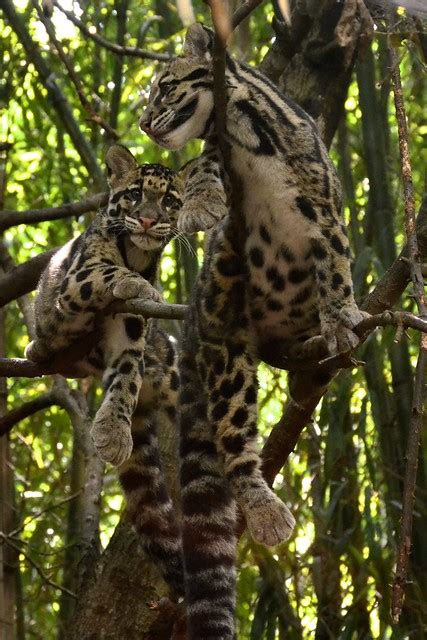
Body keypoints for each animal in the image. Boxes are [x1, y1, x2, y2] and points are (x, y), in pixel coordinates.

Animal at [25, 146, 186, 596]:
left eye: (170, 201)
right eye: (134, 194)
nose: (147, 219)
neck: (140, 253)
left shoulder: (131, 334)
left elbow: (126, 377)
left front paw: (113, 433)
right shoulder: (78, 278)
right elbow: (114, 272)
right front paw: (145, 286)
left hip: (169, 365)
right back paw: (38, 345)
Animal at [140, 22, 368, 636]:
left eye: (164, 86)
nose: (142, 122)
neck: (246, 138)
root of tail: (195, 324)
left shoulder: (325, 215)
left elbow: (334, 268)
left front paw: (342, 318)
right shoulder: (219, 168)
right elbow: (201, 172)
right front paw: (199, 205)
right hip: (227, 336)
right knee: (234, 441)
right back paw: (264, 510)